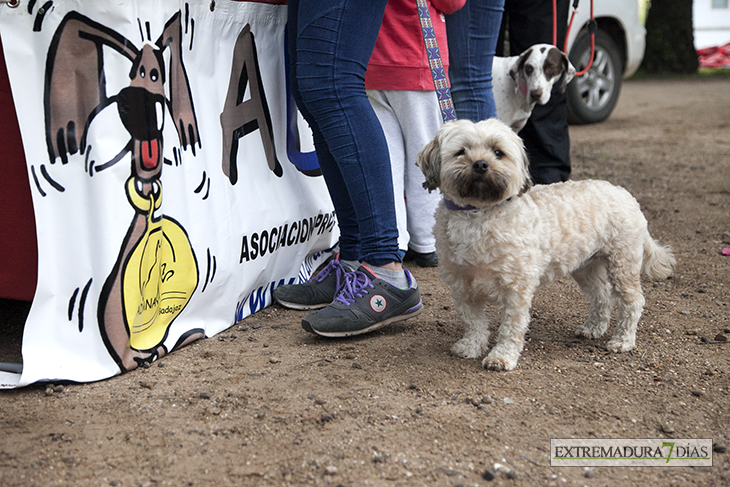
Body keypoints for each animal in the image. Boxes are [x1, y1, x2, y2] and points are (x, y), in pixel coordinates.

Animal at [418, 120, 672, 372]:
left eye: (498, 152)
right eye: (461, 152)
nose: (480, 164)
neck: (478, 213)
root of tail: (625, 194)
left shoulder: (516, 288)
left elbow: (511, 328)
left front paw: (502, 357)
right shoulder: (462, 285)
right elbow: (473, 322)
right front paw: (471, 346)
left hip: (622, 264)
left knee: (632, 301)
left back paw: (623, 341)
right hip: (586, 267)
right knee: (602, 297)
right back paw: (593, 329)